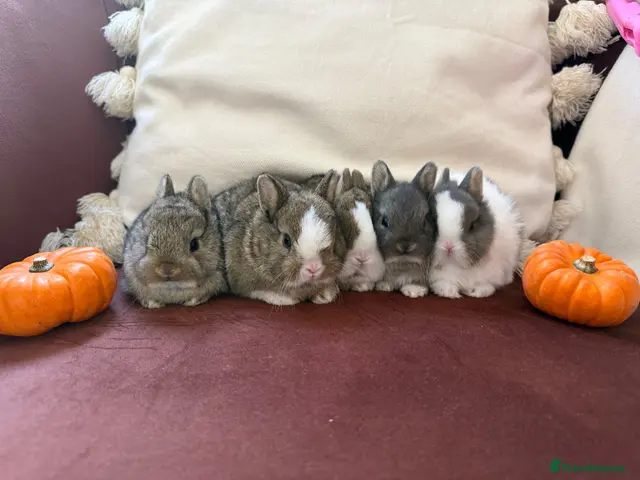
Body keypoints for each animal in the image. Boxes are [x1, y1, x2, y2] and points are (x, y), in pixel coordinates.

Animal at [214, 170, 343, 306]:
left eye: (333, 233)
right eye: (286, 240)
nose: (313, 267)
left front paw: (325, 296)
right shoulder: (242, 281)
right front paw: (286, 299)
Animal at [371, 160, 438, 298]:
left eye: (424, 222)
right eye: (384, 221)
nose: (405, 246)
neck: (403, 264)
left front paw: (414, 291)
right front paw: (383, 286)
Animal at [428, 166, 525, 299]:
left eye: (472, 225)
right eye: (433, 223)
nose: (448, 245)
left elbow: (486, 285)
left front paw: (477, 293)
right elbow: (442, 283)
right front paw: (449, 292)